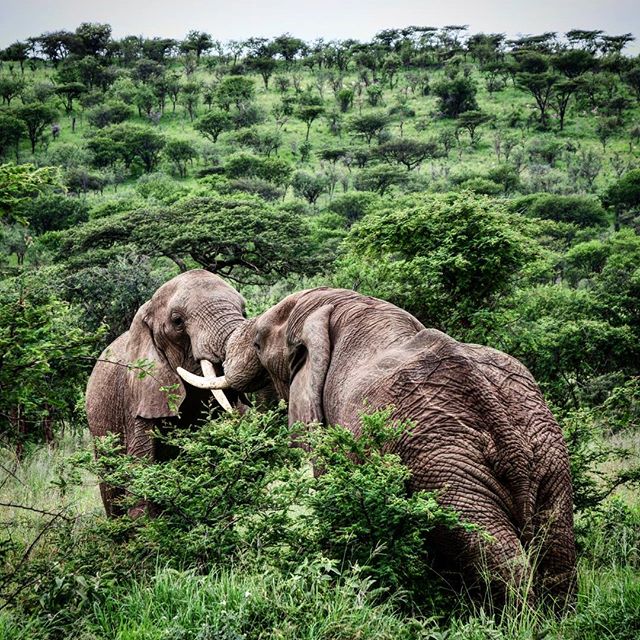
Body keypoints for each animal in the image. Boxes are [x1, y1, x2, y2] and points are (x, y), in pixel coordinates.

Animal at [179, 286, 577, 608]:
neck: (353, 310)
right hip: (547, 451)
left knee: (497, 554)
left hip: (446, 465)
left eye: (259, 343)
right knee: (556, 549)